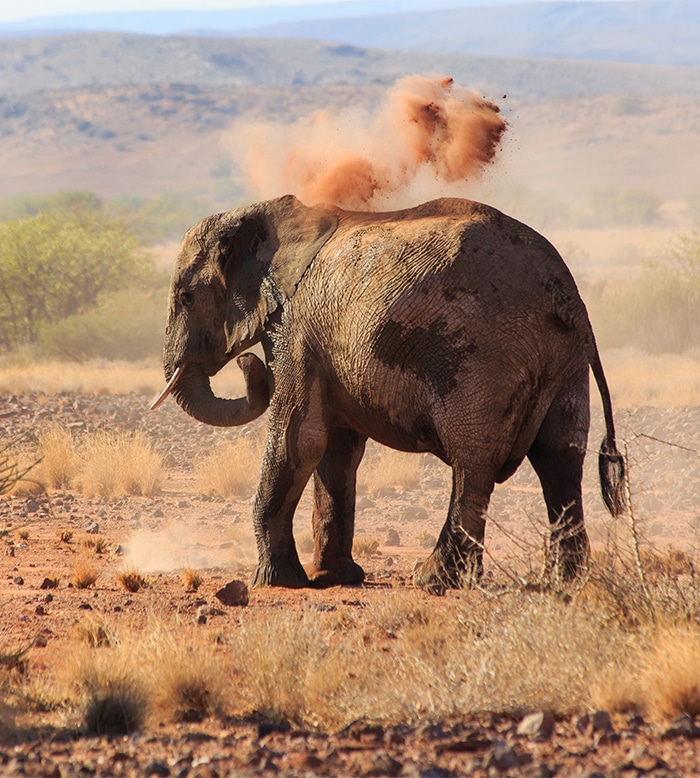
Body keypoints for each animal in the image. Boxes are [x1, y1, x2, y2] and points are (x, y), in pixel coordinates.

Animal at [152, 196, 624, 596]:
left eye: (185, 297)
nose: (249, 365)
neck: (261, 214)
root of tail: (570, 298)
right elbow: (336, 452)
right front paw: (335, 578)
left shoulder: (296, 330)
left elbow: (297, 440)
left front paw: (277, 582)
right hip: (564, 362)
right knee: (559, 459)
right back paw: (560, 582)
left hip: (484, 357)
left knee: (473, 462)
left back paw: (435, 581)